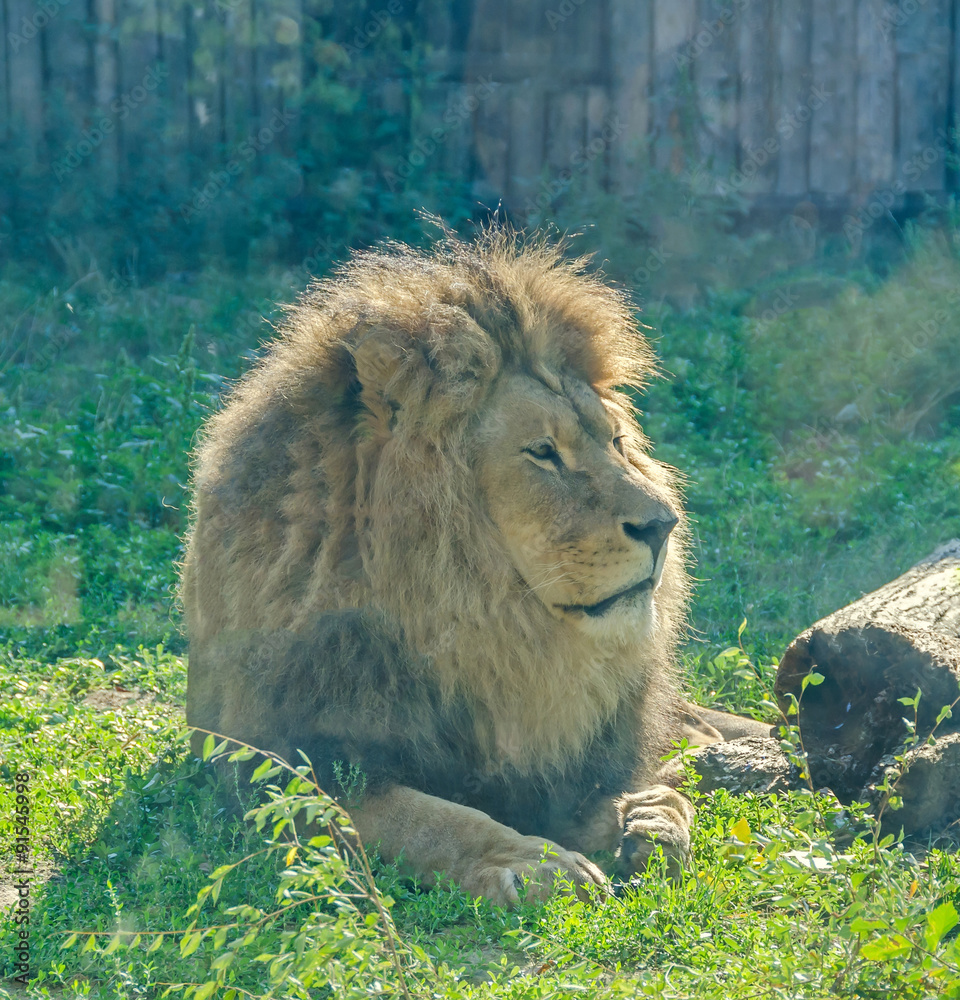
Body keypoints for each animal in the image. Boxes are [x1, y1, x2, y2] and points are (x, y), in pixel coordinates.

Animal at [181, 227, 752, 905]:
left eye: (615, 442)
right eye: (543, 453)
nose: (664, 524)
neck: (482, 628)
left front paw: (646, 817)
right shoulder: (279, 767)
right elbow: (433, 819)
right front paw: (532, 862)